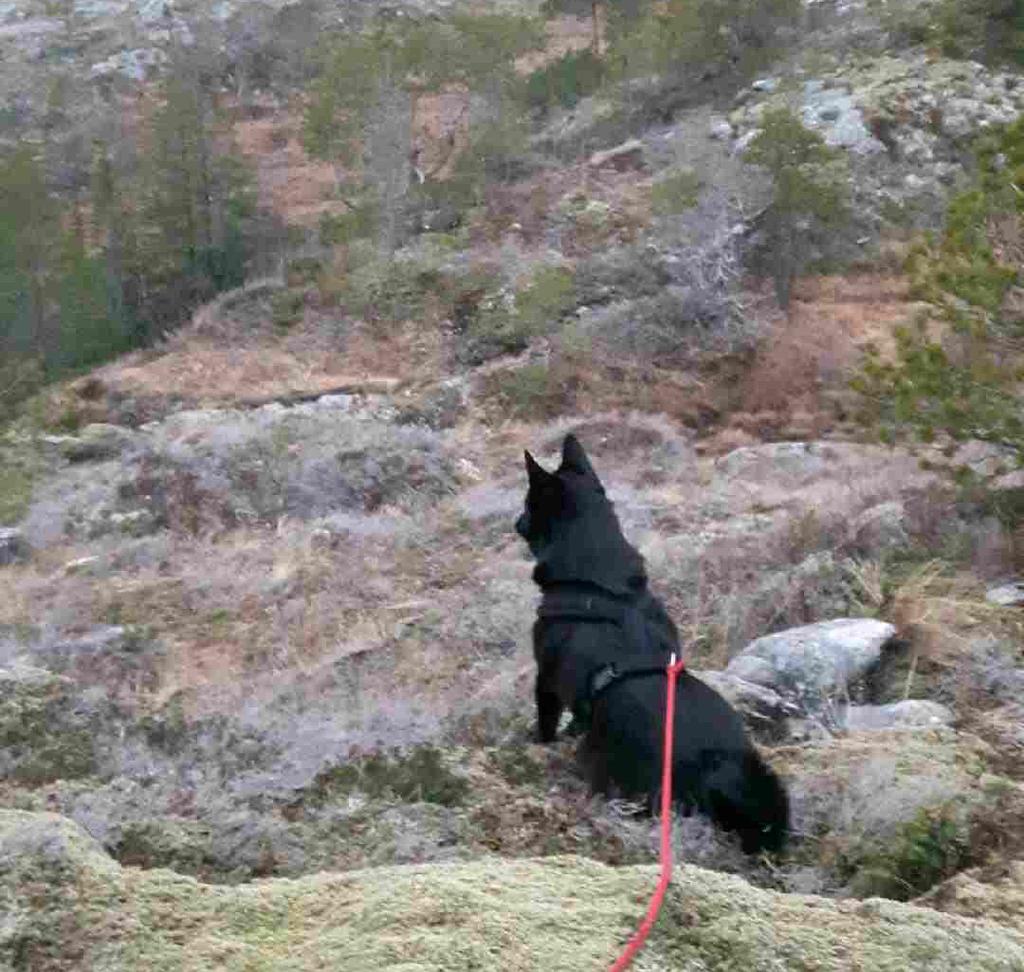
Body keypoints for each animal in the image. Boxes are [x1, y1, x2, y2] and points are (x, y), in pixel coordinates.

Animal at [516, 432, 786, 848]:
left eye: (529, 505)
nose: (516, 522)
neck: (599, 585)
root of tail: (713, 763)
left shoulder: (546, 679)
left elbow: (546, 721)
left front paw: (538, 745)